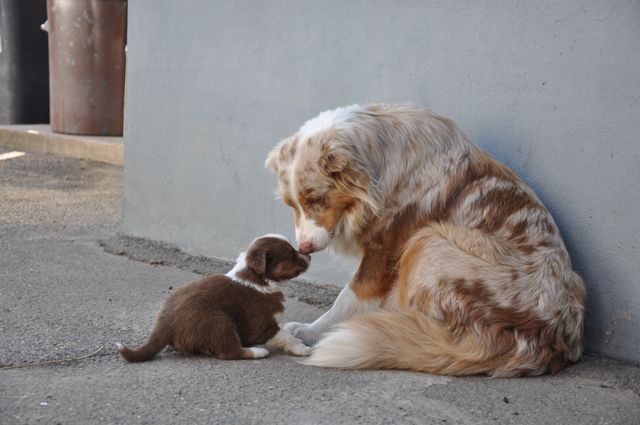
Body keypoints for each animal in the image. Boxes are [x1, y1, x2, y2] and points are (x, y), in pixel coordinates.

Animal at [119, 235, 314, 362]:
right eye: (290, 253)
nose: (309, 255)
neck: (258, 279)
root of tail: (163, 325)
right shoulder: (262, 324)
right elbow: (286, 336)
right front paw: (303, 349)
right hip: (219, 322)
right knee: (228, 352)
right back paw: (257, 352)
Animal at [264, 104, 584, 376]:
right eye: (292, 205)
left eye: (317, 200)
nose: (304, 248)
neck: (378, 160)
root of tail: (549, 338)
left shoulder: (384, 251)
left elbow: (347, 299)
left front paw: (309, 331)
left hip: (429, 238)